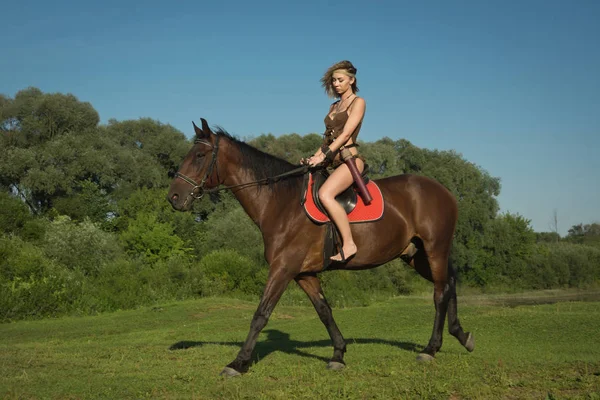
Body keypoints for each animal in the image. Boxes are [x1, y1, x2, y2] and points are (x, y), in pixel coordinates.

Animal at [168, 119, 474, 378]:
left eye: (199, 156)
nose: (174, 197)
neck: (283, 203)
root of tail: (445, 192)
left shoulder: (282, 269)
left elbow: (261, 314)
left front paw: (238, 363)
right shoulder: (303, 273)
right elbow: (324, 310)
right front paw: (338, 354)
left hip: (434, 250)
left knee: (440, 293)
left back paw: (430, 349)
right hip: (416, 256)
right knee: (450, 283)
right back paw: (462, 335)